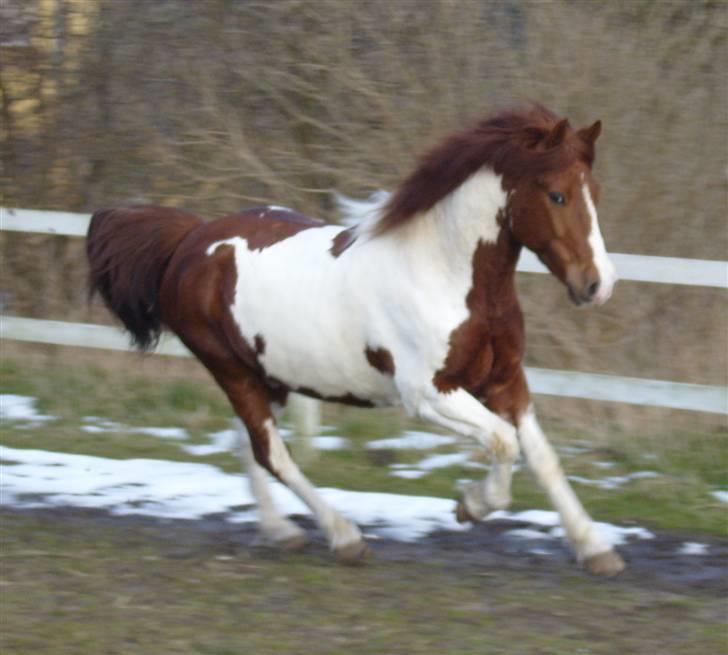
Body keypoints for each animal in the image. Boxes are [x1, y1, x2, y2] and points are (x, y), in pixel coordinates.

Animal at [84, 106, 620, 580]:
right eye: (557, 196)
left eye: (595, 192)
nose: (598, 284)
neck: (446, 277)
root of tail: (191, 239)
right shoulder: (427, 395)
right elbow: (503, 441)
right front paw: (470, 506)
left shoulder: (506, 380)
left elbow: (542, 458)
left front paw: (595, 550)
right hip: (230, 370)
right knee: (272, 454)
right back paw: (344, 537)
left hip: (265, 374)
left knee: (247, 444)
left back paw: (281, 533)